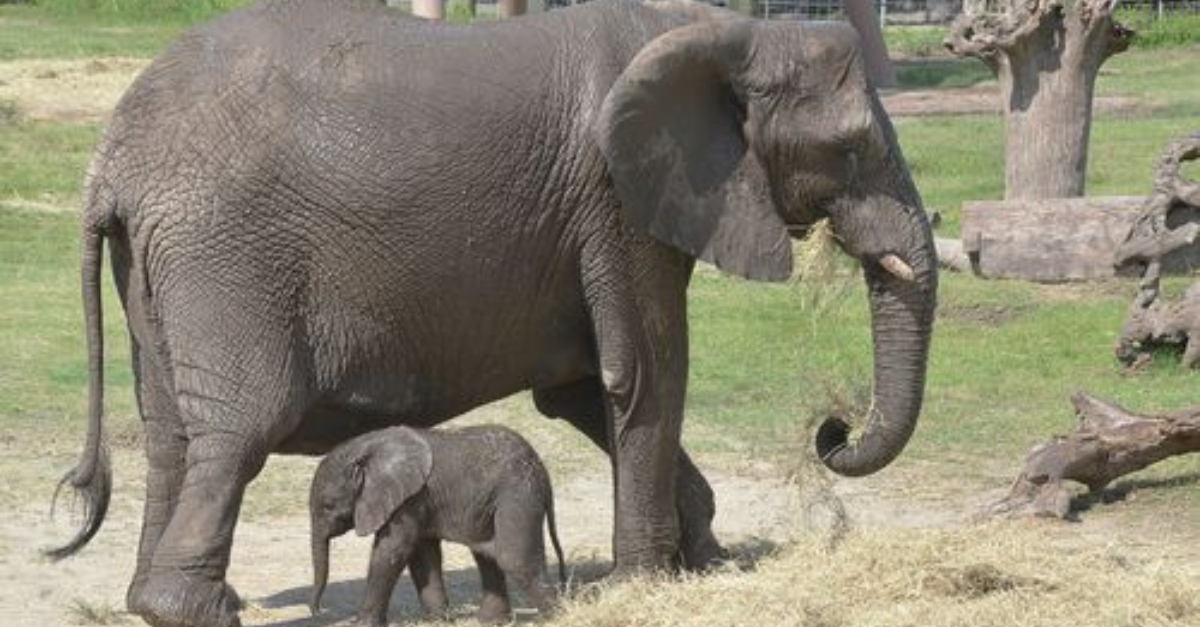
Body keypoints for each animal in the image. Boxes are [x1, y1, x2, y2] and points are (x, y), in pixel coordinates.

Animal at [312, 422, 568, 619]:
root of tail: (543, 471)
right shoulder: (417, 501)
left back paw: (555, 618)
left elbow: (392, 552)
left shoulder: (408, 499)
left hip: (518, 494)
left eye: (328, 506)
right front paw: (438, 620)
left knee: (513, 559)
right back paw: (492, 621)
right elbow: (422, 554)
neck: (365, 447)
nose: (316, 612)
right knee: (486, 553)